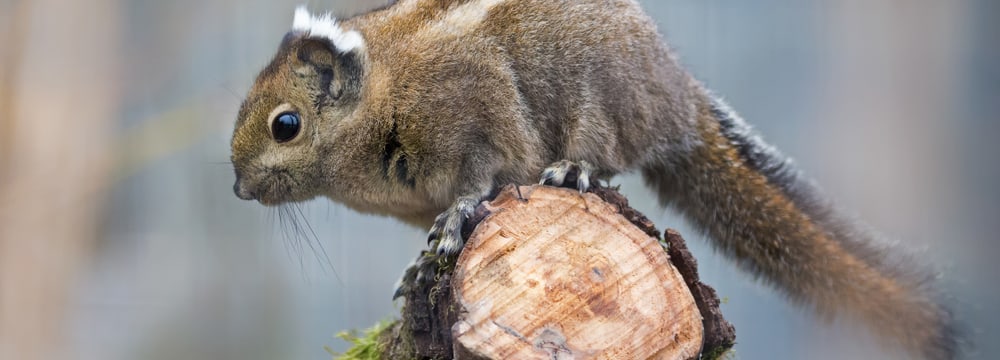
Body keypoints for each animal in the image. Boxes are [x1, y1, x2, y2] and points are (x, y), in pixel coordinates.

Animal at [230, 1, 956, 358]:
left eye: (286, 124)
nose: (237, 188)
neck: (383, 88)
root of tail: (680, 100)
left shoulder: (474, 110)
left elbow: (478, 176)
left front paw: (457, 216)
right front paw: (417, 268)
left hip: (599, 100)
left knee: (603, 152)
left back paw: (574, 167)